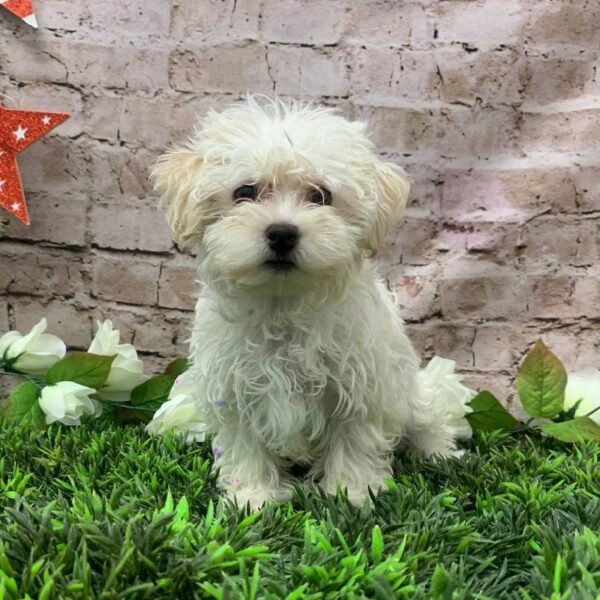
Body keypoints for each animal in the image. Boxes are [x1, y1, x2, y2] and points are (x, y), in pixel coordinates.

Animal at [150, 96, 468, 508]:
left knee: (430, 421)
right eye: (245, 192)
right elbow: (247, 445)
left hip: (413, 392)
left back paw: (441, 455)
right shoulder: (235, 390)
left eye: (321, 196)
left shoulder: (361, 386)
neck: (284, 303)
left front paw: (351, 495)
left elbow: (354, 440)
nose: (283, 232)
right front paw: (252, 496)